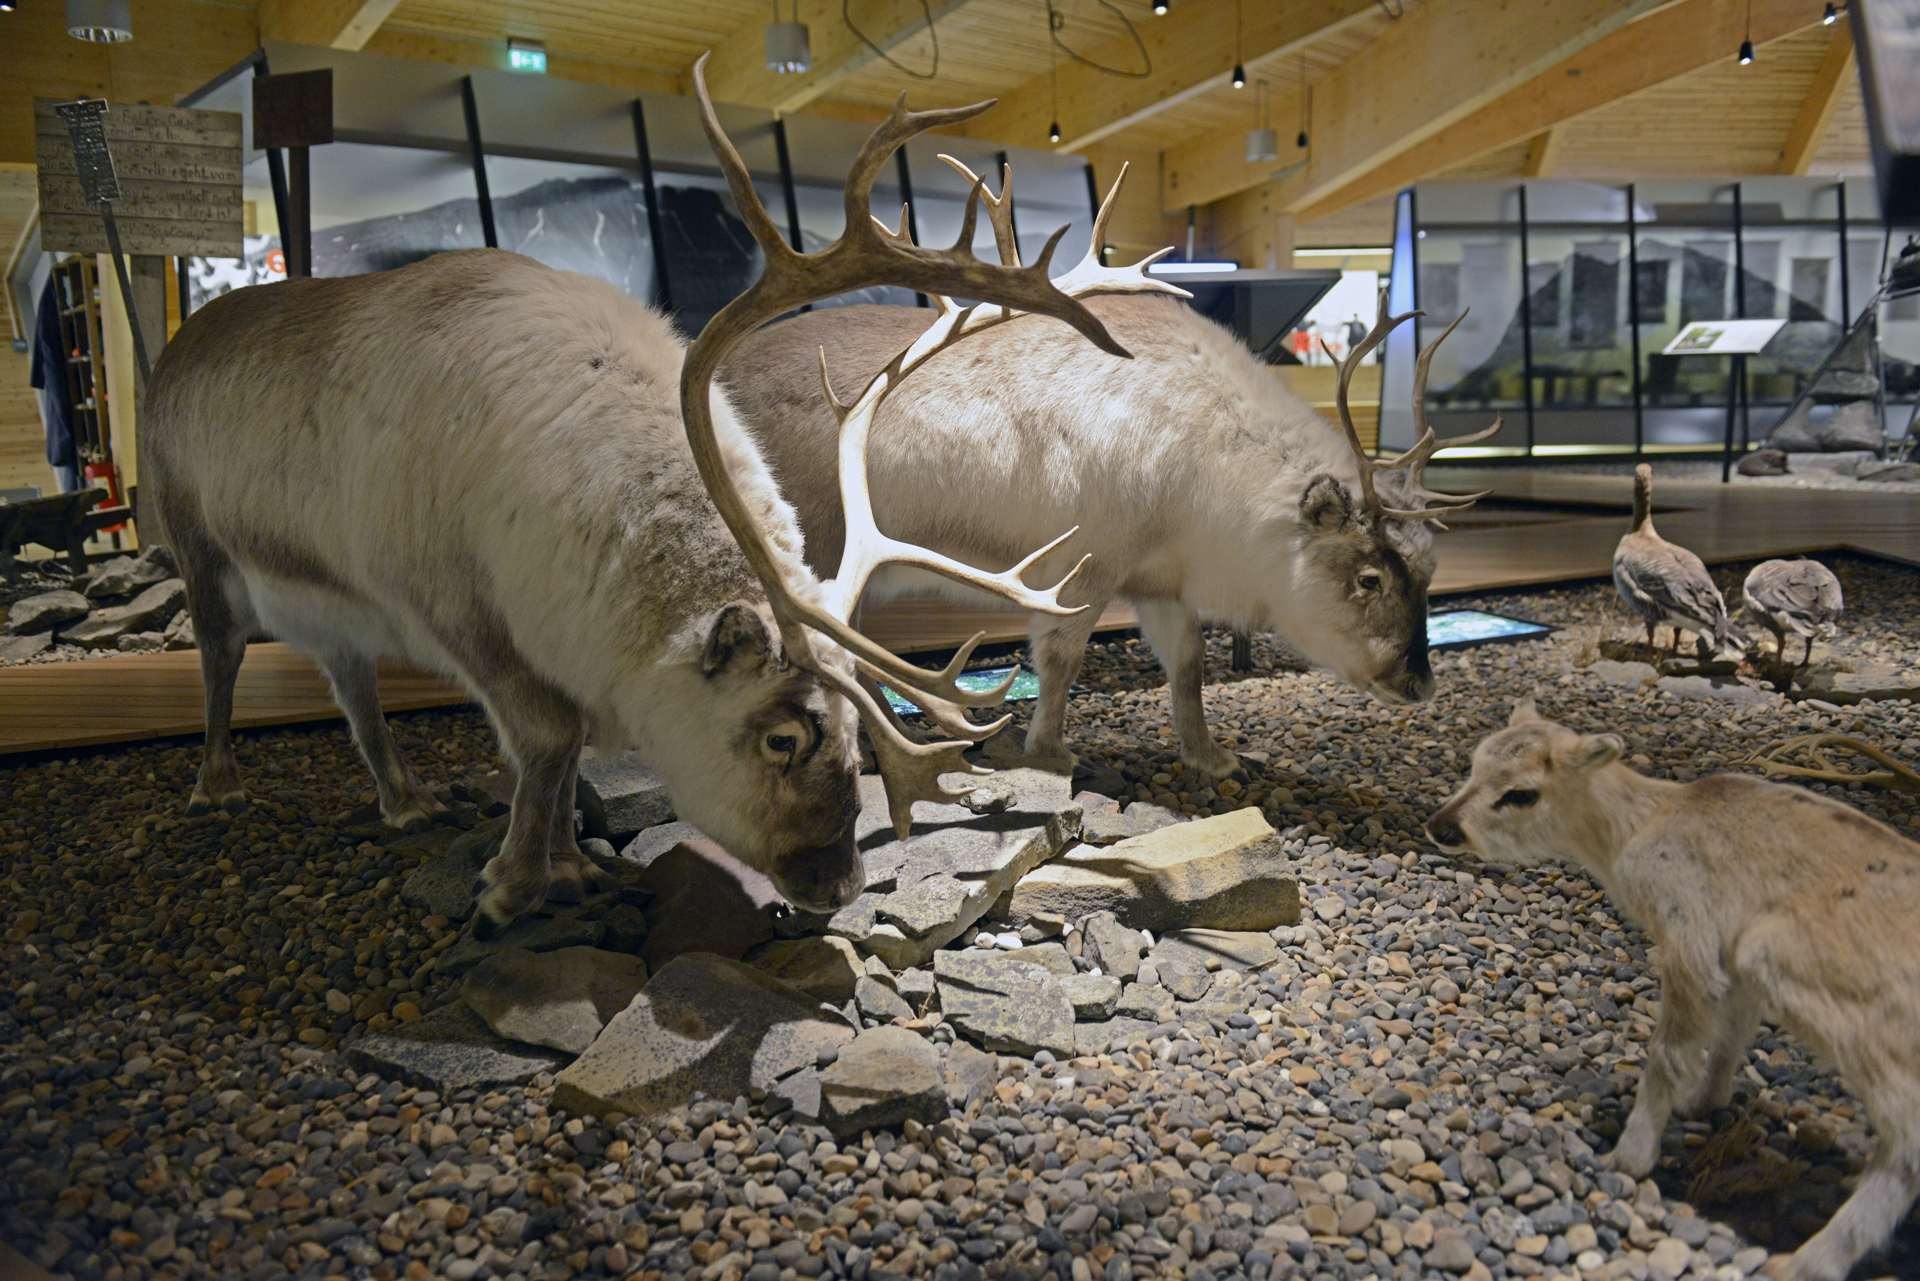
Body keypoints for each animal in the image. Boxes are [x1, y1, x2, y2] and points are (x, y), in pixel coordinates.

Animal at [1428, 702, 1920, 1281]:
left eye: (1523, 793)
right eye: (1475, 763)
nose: (1441, 826)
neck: (1642, 825)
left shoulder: (1689, 934)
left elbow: (1666, 1053)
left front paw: (1629, 1158)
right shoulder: (1731, 959)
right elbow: (1731, 1033)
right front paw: (1701, 1102)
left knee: (1906, 1146)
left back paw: (1806, 1261)